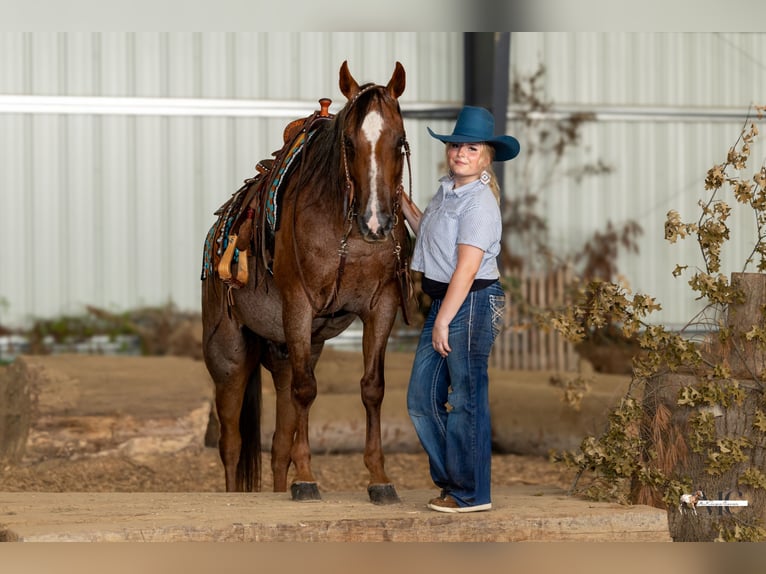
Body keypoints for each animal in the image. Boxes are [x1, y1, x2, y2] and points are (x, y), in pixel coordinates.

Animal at [201, 61, 412, 504]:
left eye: (400, 141)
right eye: (348, 142)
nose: (376, 221)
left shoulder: (380, 306)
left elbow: (372, 387)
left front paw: (379, 478)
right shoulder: (299, 305)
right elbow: (306, 391)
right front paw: (307, 479)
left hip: (285, 352)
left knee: (278, 442)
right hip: (228, 356)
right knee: (231, 442)